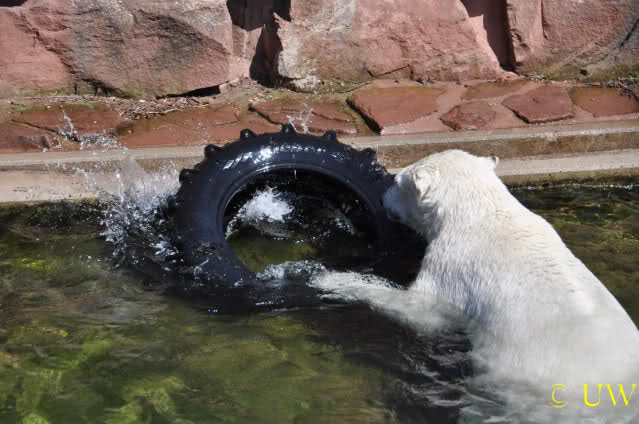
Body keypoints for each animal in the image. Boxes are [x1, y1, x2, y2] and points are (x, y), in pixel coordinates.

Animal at [311, 150, 639, 415]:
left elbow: (420, 310)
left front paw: (331, 278)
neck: (482, 215)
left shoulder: (453, 266)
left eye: (397, 180)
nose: (381, 198)